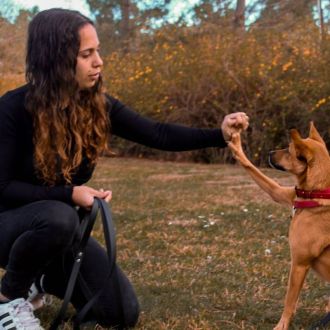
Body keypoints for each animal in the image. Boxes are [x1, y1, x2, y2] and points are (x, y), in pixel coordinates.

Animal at [229, 123, 330, 330]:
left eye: (288, 150)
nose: (269, 152)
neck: (318, 191)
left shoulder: (299, 264)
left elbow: (289, 301)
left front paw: (281, 326)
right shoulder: (281, 193)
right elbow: (257, 173)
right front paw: (236, 147)